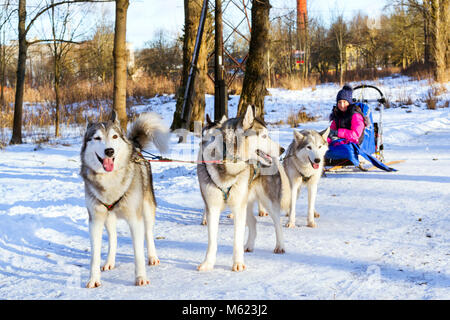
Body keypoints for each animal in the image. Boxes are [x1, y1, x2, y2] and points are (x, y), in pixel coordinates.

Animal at [80, 112, 170, 288]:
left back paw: (152, 257)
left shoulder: (135, 219)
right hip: (109, 218)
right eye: (97, 138)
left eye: (114, 136)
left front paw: (140, 277)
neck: (110, 181)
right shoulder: (95, 220)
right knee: (113, 238)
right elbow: (94, 256)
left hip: (147, 209)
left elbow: (138, 252)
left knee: (148, 233)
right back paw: (110, 261)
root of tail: (136, 148)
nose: (109, 151)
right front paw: (93, 279)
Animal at [198, 106, 284, 272]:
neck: (229, 165)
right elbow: (212, 240)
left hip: (268, 202)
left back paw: (280, 246)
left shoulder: (238, 208)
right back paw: (249, 245)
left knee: (277, 223)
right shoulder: (212, 207)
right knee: (253, 222)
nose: (282, 149)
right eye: (264, 136)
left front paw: (237, 263)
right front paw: (208, 263)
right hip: (246, 202)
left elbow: (237, 239)